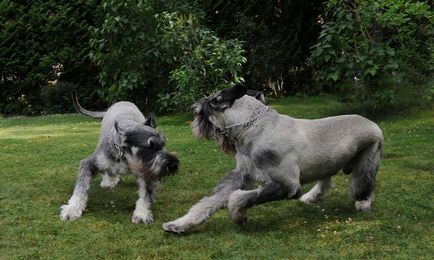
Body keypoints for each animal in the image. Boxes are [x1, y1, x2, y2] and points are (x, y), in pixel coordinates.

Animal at [59, 93, 178, 223]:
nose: (173, 165)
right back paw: (109, 180)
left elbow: (146, 194)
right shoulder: (89, 164)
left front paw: (142, 213)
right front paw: (72, 209)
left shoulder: (147, 172)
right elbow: (80, 189)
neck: (126, 157)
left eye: (163, 144)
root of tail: (122, 101)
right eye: (149, 146)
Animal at [163, 85, 384, 234]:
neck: (252, 127)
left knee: (365, 185)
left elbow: (239, 197)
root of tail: (373, 123)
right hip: (327, 163)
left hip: (365, 163)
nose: (194, 125)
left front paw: (238, 215)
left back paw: (363, 203)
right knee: (326, 182)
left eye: (199, 111)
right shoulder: (241, 175)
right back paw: (311, 197)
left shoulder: (286, 184)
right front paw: (179, 224)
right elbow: (210, 202)